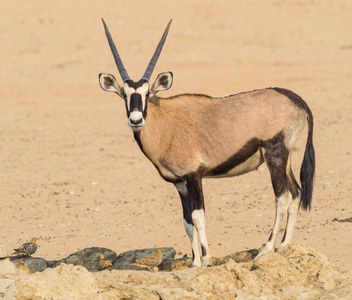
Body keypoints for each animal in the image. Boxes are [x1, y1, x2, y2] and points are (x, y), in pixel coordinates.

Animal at [99, 19, 316, 268]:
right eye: (124, 95)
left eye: (146, 94)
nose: (136, 120)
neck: (165, 122)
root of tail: (296, 100)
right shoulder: (180, 183)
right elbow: (186, 221)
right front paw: (194, 262)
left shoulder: (194, 175)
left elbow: (198, 216)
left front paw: (205, 259)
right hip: (285, 158)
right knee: (296, 191)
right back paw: (285, 245)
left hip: (276, 155)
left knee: (283, 197)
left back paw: (269, 248)